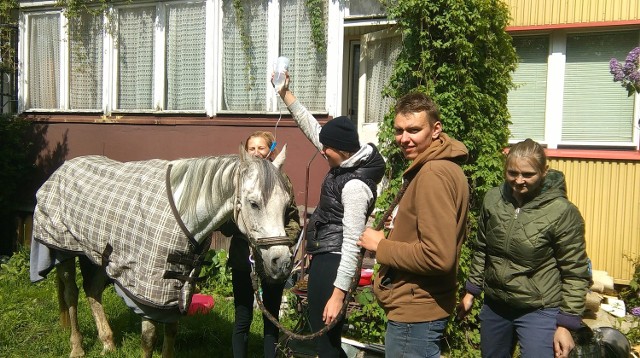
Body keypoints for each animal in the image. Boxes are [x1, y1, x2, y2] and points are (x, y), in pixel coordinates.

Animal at [30, 145, 296, 356]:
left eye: (286, 205)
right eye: (254, 203)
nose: (281, 262)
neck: (185, 211)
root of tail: (61, 169)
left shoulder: (179, 282)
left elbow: (171, 331)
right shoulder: (149, 286)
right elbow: (149, 338)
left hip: (98, 255)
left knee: (92, 291)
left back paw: (108, 343)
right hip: (64, 251)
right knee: (71, 294)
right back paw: (77, 347)